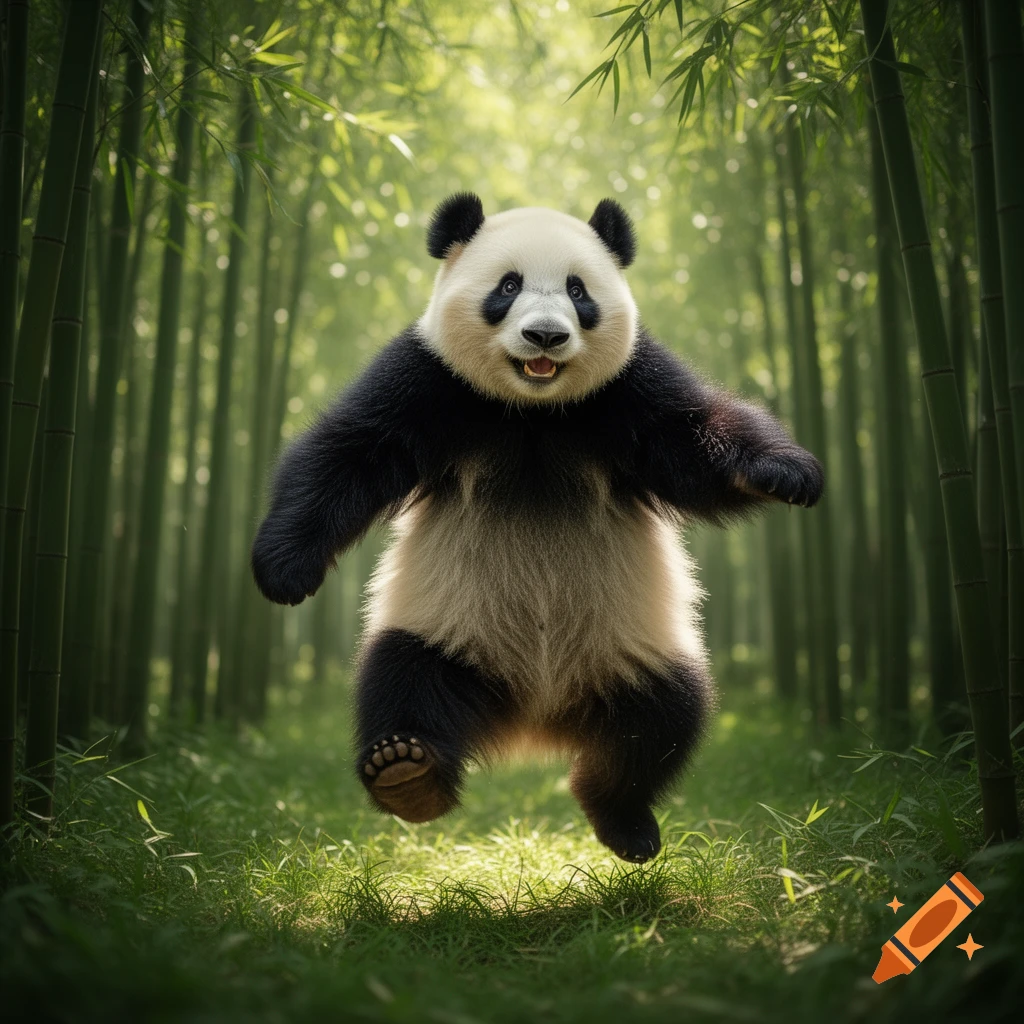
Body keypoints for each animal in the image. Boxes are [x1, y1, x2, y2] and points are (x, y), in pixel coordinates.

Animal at [251, 193, 823, 863]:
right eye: (508, 286)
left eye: (579, 291)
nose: (545, 334)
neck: (534, 411)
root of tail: (535, 715)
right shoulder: (428, 377)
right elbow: (350, 452)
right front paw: (283, 572)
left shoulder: (629, 386)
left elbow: (695, 439)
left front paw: (788, 473)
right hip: (447, 623)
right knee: (402, 679)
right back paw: (408, 773)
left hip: (631, 645)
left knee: (663, 718)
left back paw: (623, 820)